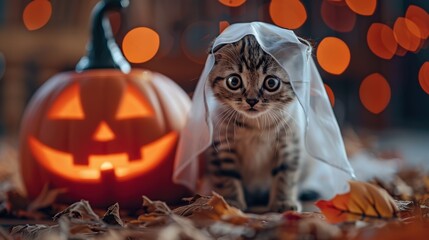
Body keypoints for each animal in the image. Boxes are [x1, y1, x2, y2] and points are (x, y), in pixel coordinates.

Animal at [205, 34, 308, 212]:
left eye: (271, 83)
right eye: (234, 81)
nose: (252, 100)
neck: (255, 126)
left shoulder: (289, 143)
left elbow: (286, 174)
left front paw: (283, 201)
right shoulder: (221, 146)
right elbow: (227, 176)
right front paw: (229, 203)